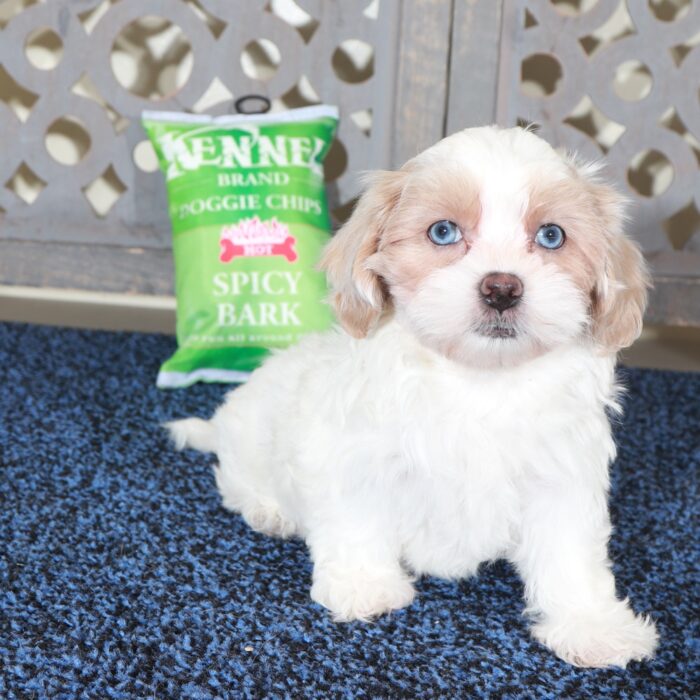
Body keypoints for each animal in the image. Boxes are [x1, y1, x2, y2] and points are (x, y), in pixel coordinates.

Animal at [167, 124, 660, 668]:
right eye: (442, 232)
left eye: (552, 236)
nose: (502, 288)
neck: (478, 381)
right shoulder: (353, 457)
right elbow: (356, 520)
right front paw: (365, 587)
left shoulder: (562, 477)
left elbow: (572, 556)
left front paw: (592, 626)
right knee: (235, 482)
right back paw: (269, 510)